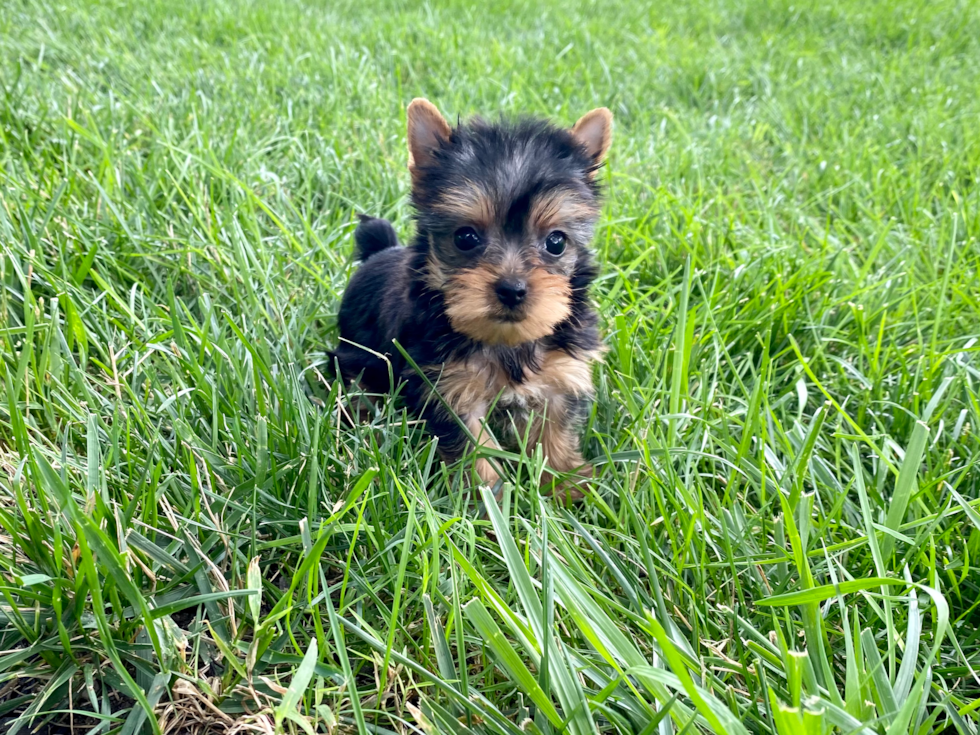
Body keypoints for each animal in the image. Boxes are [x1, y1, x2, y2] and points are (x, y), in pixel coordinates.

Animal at [334, 98, 612, 500]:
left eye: (556, 242)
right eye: (465, 238)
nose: (512, 289)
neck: (506, 343)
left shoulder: (560, 377)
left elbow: (555, 433)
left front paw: (566, 485)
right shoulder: (449, 387)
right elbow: (474, 447)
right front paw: (487, 500)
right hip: (355, 355)